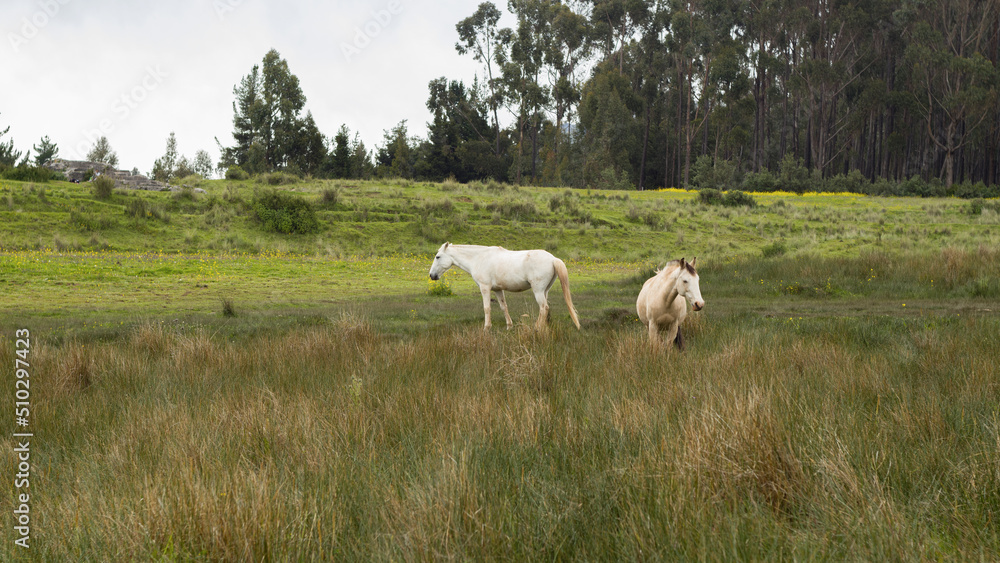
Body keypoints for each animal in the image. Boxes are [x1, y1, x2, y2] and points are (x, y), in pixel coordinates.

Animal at [428, 242, 581, 330]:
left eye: (437, 257)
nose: (432, 275)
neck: (479, 259)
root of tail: (553, 259)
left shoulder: (485, 288)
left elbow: (487, 308)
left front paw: (487, 328)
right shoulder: (497, 289)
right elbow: (503, 307)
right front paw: (509, 326)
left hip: (538, 291)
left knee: (544, 307)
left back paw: (537, 328)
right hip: (545, 291)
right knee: (546, 309)